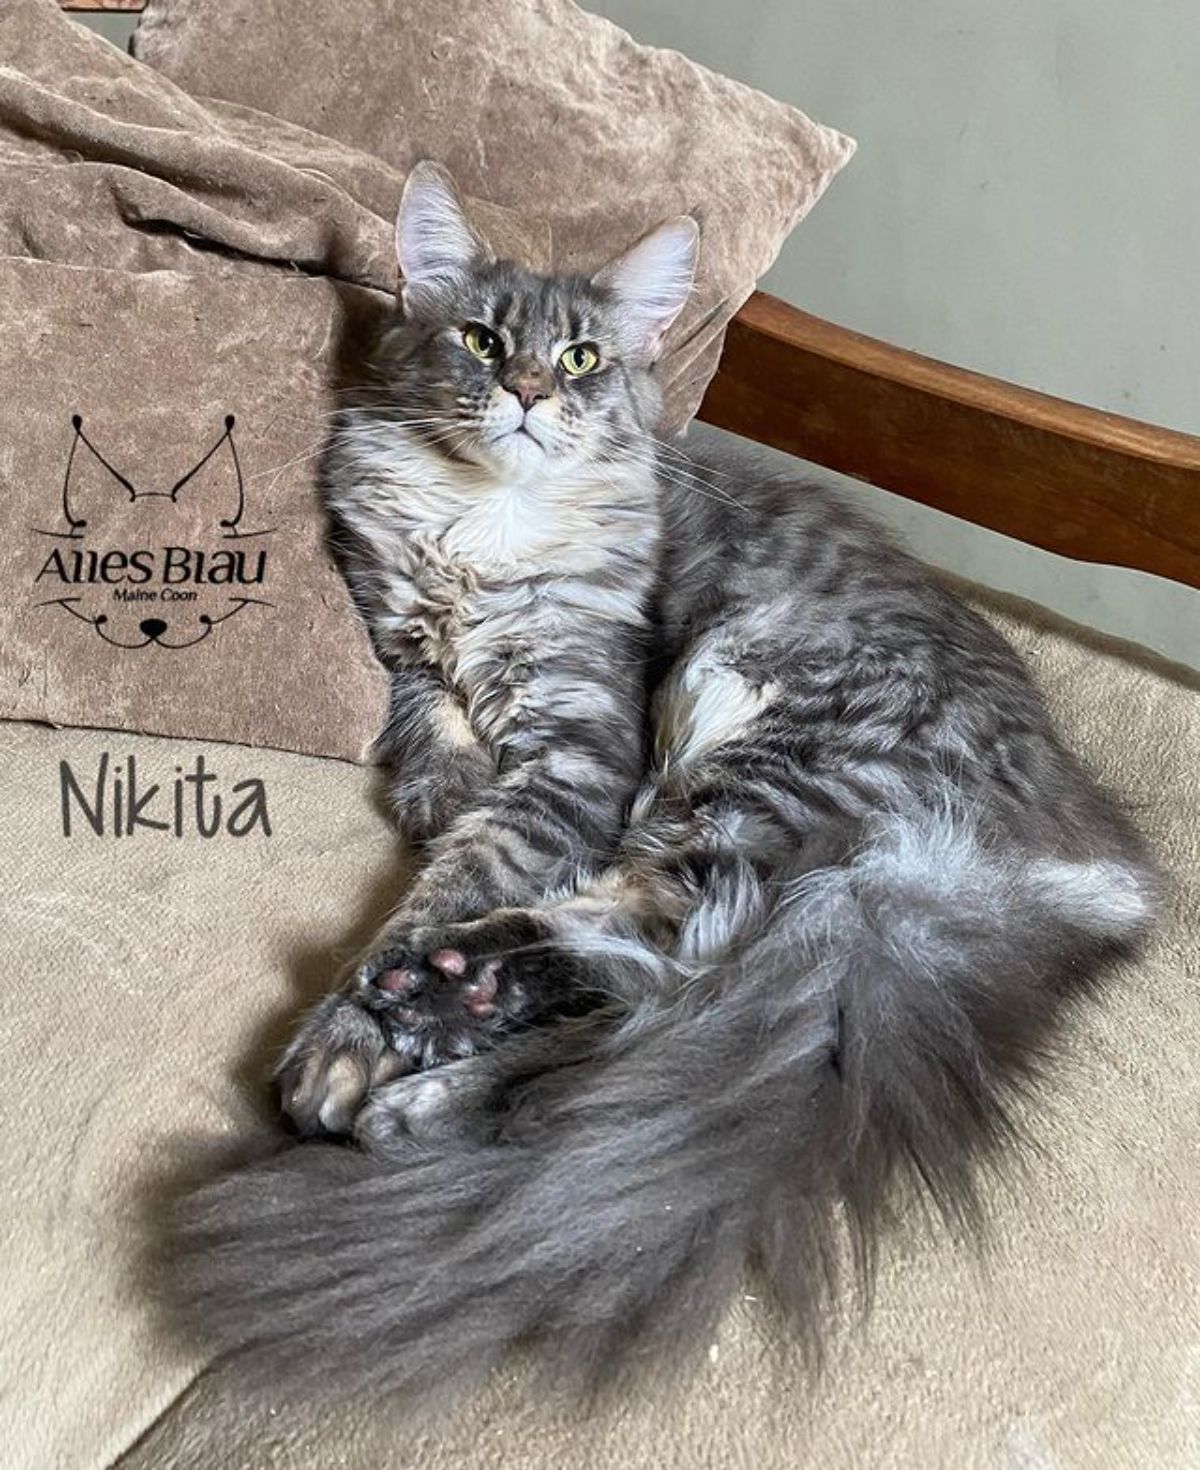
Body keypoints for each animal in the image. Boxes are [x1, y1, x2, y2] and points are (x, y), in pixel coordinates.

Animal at [173, 158, 1158, 1399]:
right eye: (482, 340)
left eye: (582, 359)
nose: (528, 392)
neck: (484, 523)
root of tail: (1091, 860)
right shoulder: (395, 629)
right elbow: (425, 717)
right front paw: (437, 786)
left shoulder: (584, 750)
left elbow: (456, 879)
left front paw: (345, 1037)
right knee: (642, 1001)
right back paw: (444, 1062)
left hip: (758, 747)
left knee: (662, 965)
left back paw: (436, 1009)